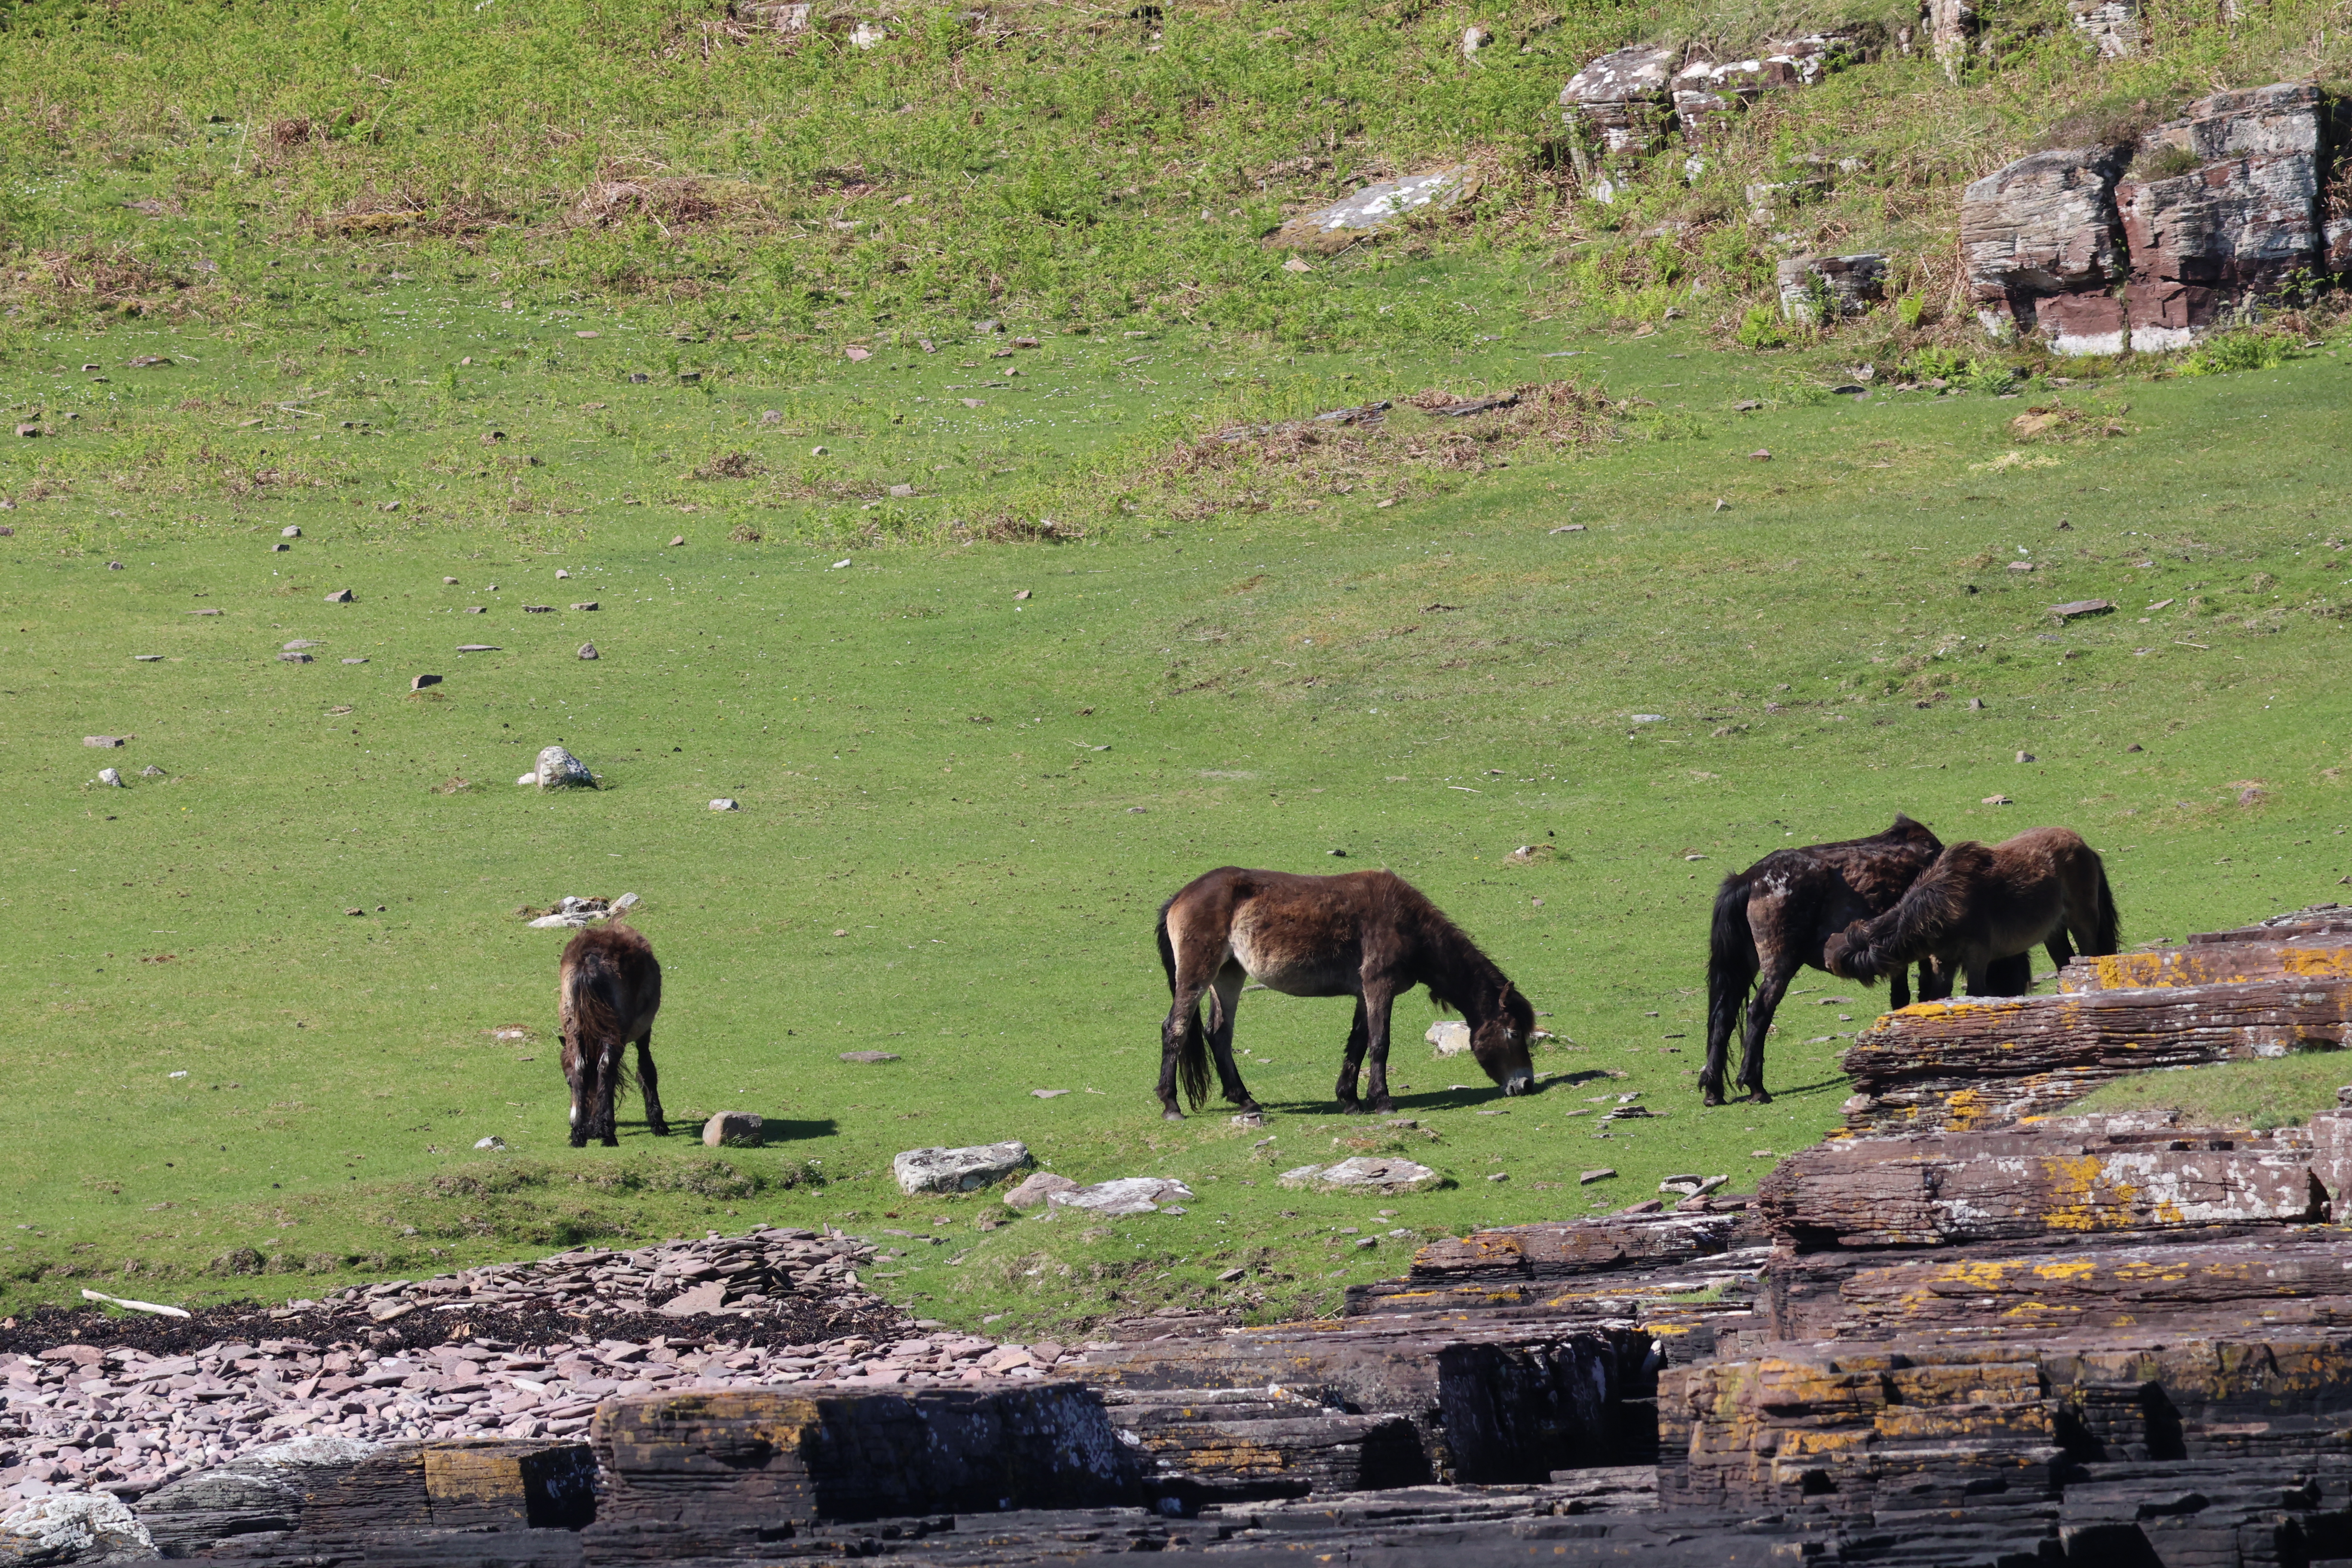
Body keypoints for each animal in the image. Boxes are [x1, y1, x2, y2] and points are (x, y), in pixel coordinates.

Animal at [557, 923, 669, 1147]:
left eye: (568, 1082)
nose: (590, 1129)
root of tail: (589, 960)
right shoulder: (644, 1031)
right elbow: (647, 1071)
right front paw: (658, 1123)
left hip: (574, 1029)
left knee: (581, 1068)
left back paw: (578, 1136)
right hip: (615, 1032)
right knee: (606, 1068)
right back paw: (608, 1134)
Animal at [1154, 867, 1536, 1120]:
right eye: (1514, 1033)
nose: (1526, 1085)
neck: (1407, 922)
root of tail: (1181, 896)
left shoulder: (1363, 993)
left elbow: (1358, 1042)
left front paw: (1350, 1100)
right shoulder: (1379, 986)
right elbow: (1380, 1043)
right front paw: (1383, 1101)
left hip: (1229, 976)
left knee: (1219, 1034)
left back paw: (1246, 1101)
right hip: (1198, 974)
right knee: (1175, 1029)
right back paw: (1172, 1106)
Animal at [1703, 814, 1946, 1107]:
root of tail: (1751, 878)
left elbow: (1901, 998)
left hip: (1745, 966)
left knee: (1724, 1015)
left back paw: (1713, 1091)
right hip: (1781, 964)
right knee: (1759, 1011)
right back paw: (1756, 1087)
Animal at [1824, 826, 2120, 995]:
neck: (1943, 904)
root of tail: (2081, 844)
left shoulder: (1977, 956)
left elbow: (1976, 993)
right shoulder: (1943, 961)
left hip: (2082, 920)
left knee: (2092, 954)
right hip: (2054, 932)